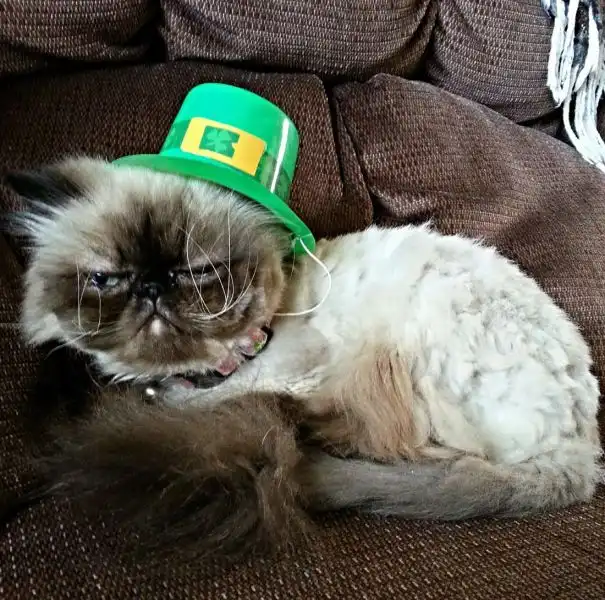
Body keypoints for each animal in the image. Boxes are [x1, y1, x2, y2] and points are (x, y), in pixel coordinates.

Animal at [7, 156, 602, 559]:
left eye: (200, 273)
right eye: (105, 279)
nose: (152, 288)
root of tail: (585, 448)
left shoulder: (288, 372)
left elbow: (210, 404)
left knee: (416, 451)